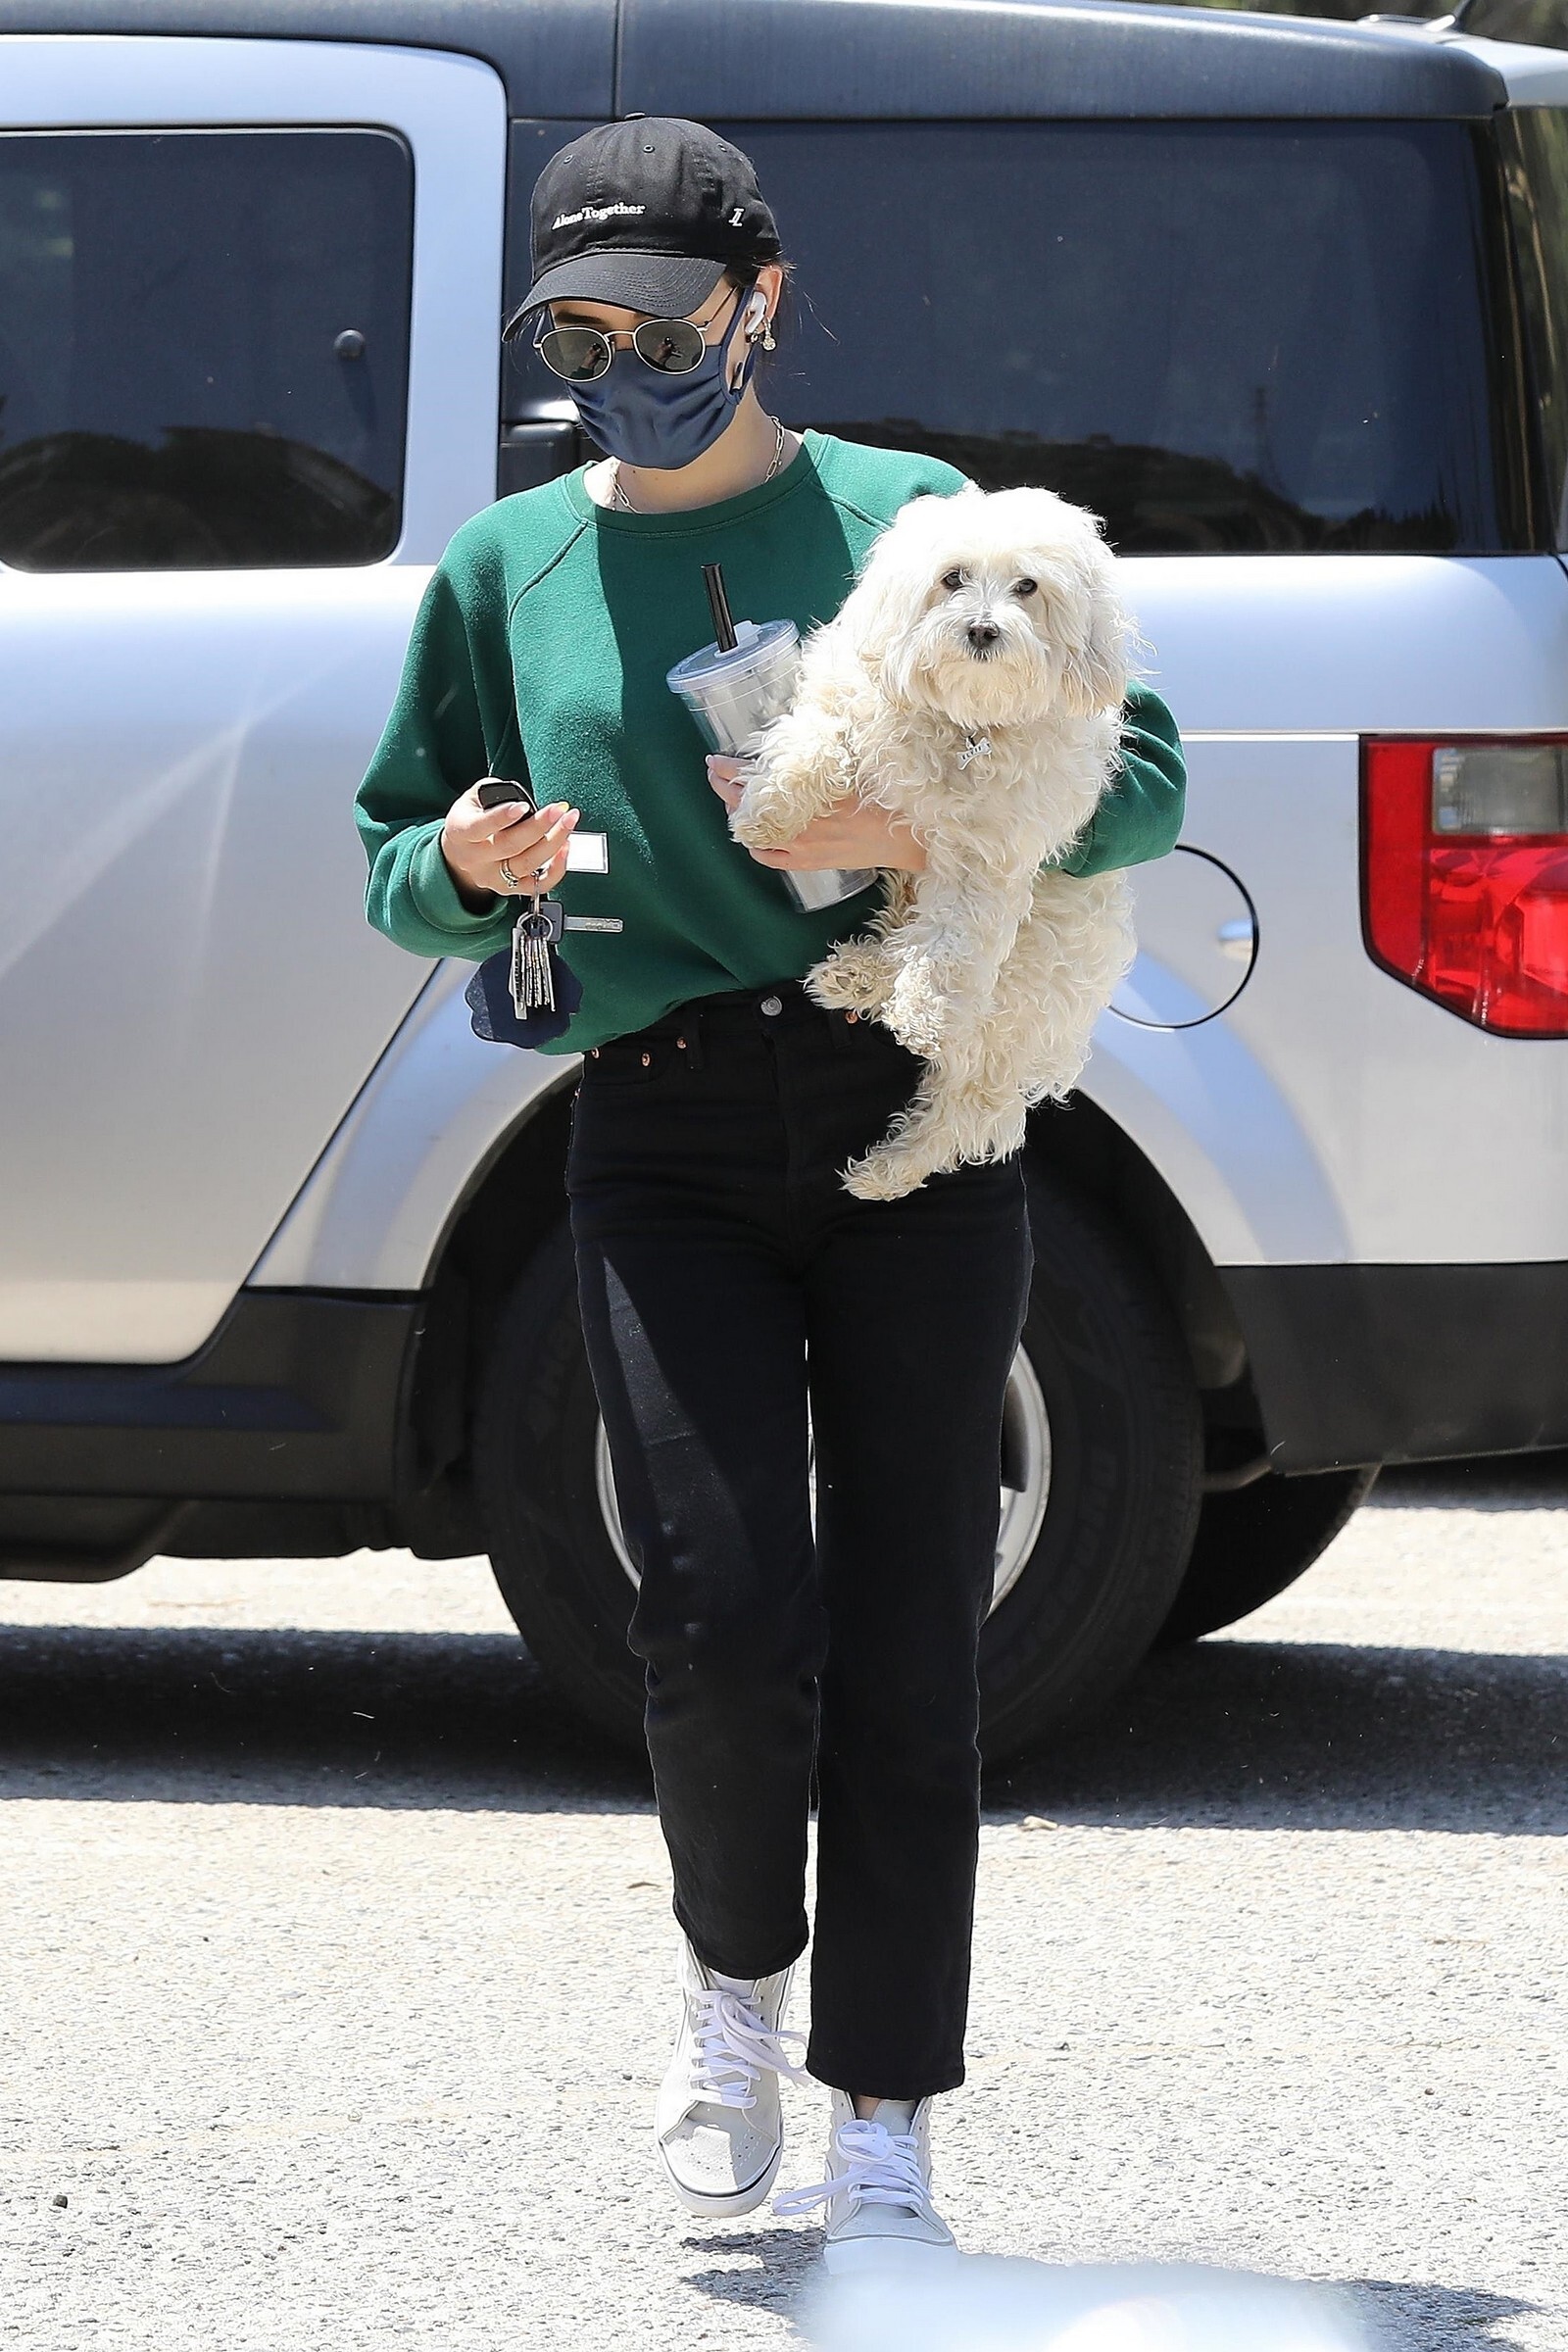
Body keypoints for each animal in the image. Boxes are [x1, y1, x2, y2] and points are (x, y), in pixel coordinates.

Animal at [728, 484, 1142, 1201]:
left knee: (969, 1103)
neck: (965, 721)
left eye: (1027, 586)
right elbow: (814, 736)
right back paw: (858, 976)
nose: (981, 628)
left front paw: (923, 1010)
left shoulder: (988, 858)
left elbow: (952, 942)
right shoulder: (848, 701)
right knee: (903, 936)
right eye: (952, 579)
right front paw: (771, 811)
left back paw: (890, 1168)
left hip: (1020, 985)